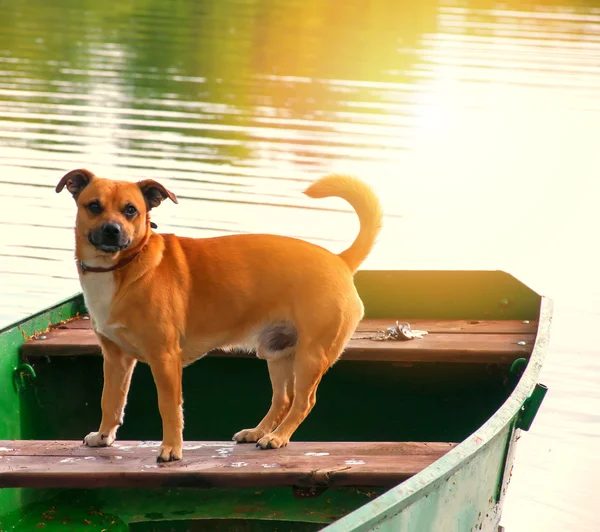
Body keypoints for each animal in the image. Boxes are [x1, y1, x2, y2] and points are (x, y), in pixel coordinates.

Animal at [57, 169, 384, 462]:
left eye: (130, 210)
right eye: (94, 206)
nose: (112, 230)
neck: (121, 267)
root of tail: (340, 261)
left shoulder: (164, 358)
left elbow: (169, 407)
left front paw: (171, 449)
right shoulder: (115, 359)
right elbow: (110, 400)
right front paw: (103, 436)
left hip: (312, 356)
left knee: (304, 401)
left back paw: (278, 437)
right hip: (278, 353)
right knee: (283, 399)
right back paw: (259, 432)